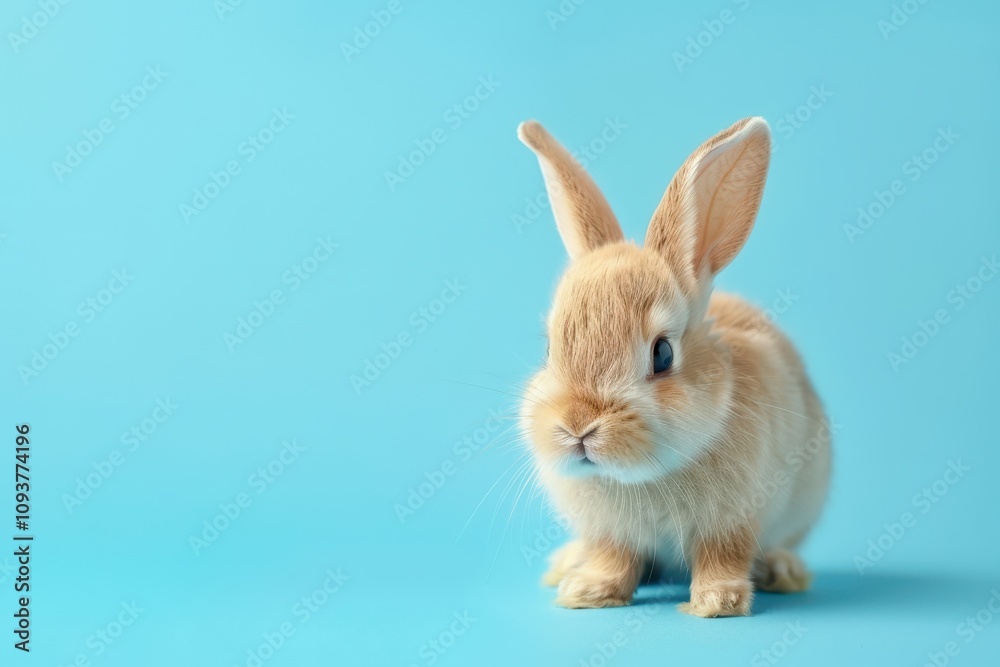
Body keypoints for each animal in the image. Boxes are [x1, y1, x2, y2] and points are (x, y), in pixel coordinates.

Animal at [517, 117, 831, 617]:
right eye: (550, 350)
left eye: (662, 354)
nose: (578, 426)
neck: (647, 475)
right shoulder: (611, 532)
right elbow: (612, 557)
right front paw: (587, 592)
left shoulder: (733, 520)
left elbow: (724, 556)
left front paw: (718, 602)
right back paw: (565, 565)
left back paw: (785, 571)